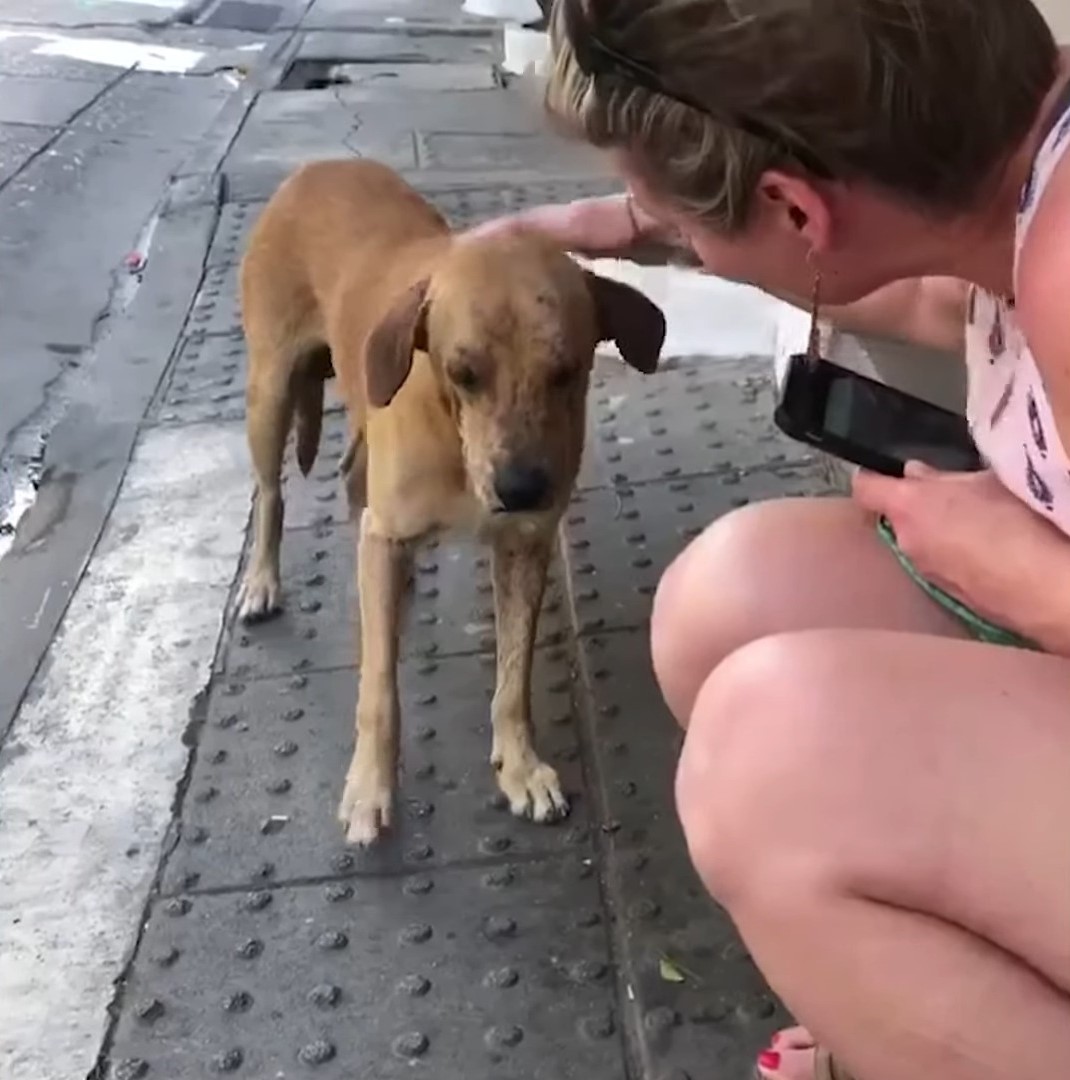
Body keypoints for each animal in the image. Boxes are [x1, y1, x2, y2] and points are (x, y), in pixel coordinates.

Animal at [238, 162, 665, 851]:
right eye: (463, 373)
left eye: (567, 371)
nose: (522, 488)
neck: (453, 434)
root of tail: (317, 166)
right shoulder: (390, 532)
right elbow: (379, 691)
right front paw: (369, 788)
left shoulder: (524, 545)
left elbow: (513, 677)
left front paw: (519, 764)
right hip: (270, 392)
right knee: (271, 492)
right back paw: (262, 581)